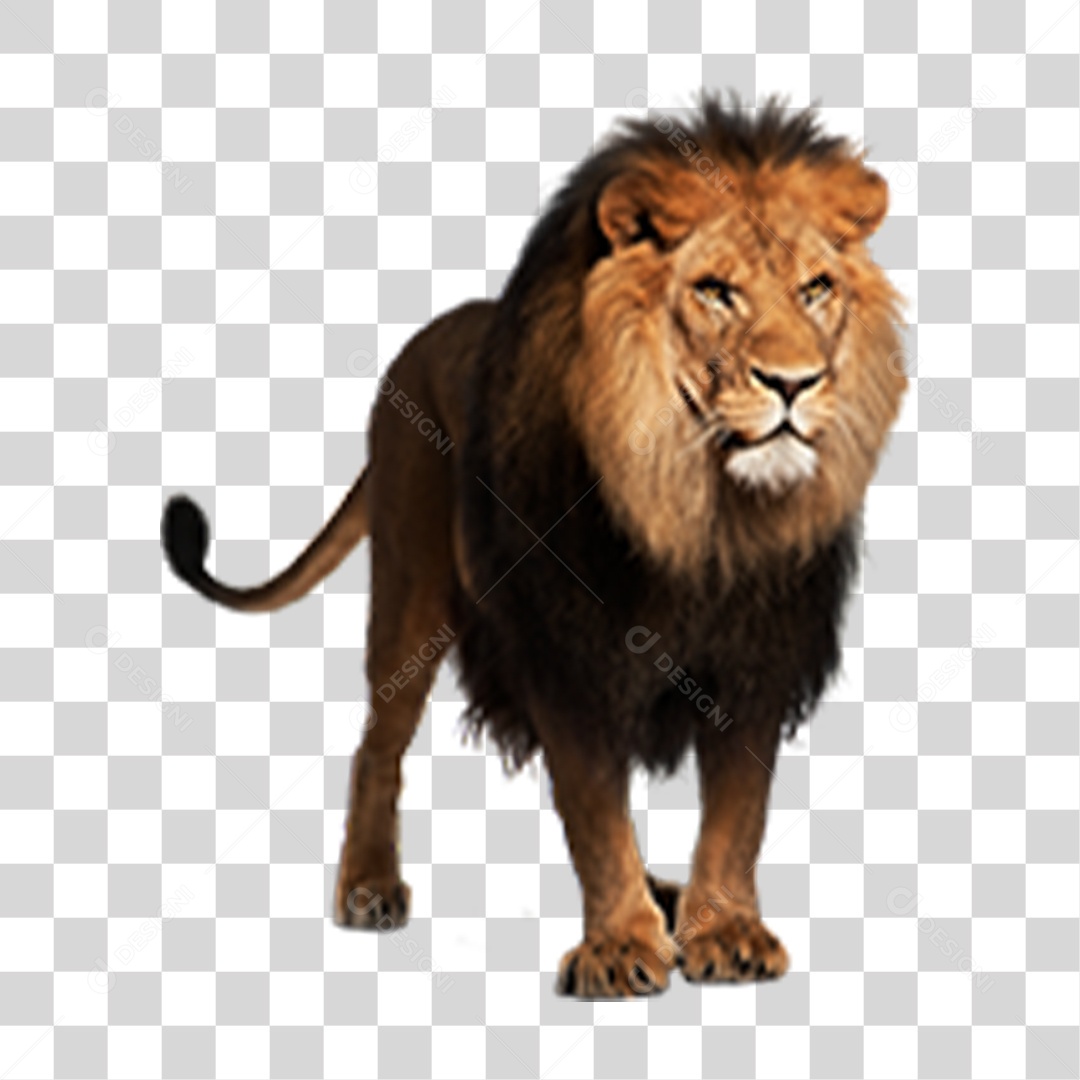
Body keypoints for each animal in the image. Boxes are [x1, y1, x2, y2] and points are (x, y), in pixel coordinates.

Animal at [162, 96, 906, 998]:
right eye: (716, 292)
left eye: (816, 288)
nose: (795, 384)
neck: (696, 509)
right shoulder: (566, 651)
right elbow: (593, 809)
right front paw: (619, 948)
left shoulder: (757, 656)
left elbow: (738, 812)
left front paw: (723, 929)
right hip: (410, 592)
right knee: (378, 744)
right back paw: (370, 885)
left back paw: (668, 896)